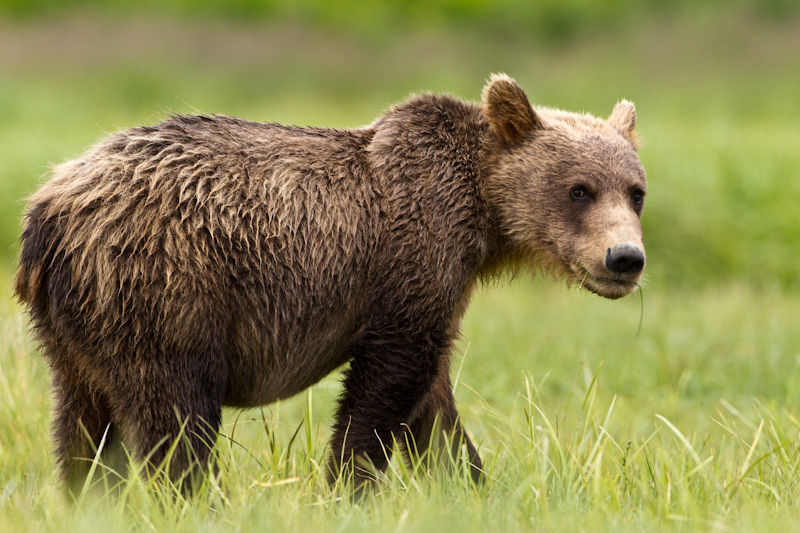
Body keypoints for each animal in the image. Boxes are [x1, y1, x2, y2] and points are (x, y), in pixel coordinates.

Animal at [15, 72, 648, 492]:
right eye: (579, 189)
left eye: (635, 191)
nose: (625, 258)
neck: (481, 216)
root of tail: (48, 207)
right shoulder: (411, 257)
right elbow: (386, 382)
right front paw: (349, 483)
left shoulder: (437, 286)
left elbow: (432, 402)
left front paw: (466, 482)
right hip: (164, 286)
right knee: (174, 414)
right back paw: (198, 496)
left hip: (76, 325)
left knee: (82, 424)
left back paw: (87, 495)